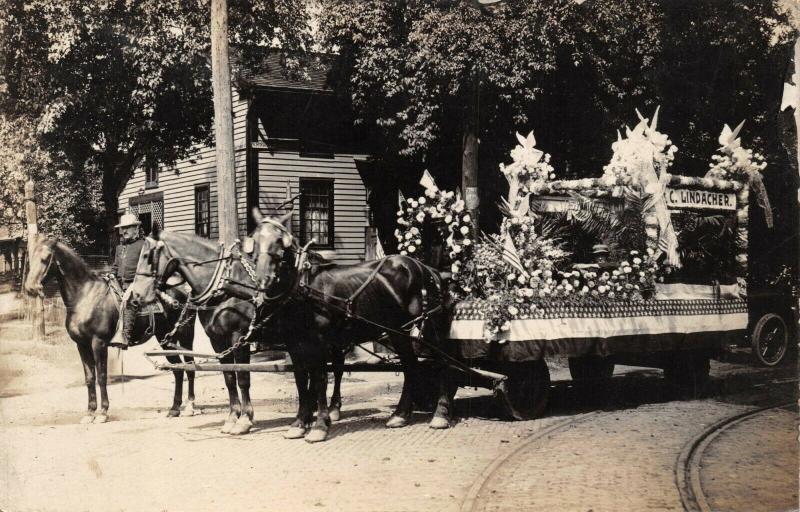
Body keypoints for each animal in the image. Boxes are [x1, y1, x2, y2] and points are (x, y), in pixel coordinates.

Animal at [21, 238, 197, 422]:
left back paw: (190, 407)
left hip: (185, 336)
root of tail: (185, 294)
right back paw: (175, 409)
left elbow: (102, 376)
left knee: (190, 366)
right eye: (31, 258)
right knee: (178, 369)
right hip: (166, 339)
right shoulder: (82, 345)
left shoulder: (99, 343)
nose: (30, 288)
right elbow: (89, 378)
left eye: (45, 258)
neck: (85, 297)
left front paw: (102, 412)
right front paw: (90, 412)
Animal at [250, 208, 454, 444]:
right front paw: (299, 424)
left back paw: (441, 413)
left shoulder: (321, 343)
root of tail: (427, 269)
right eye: (254, 240)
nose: (263, 280)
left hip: (428, 327)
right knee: (410, 366)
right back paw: (400, 415)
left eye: (280, 242)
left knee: (442, 362)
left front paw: (320, 426)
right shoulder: (295, 344)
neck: (303, 287)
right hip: (399, 331)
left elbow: (319, 380)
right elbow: (301, 380)